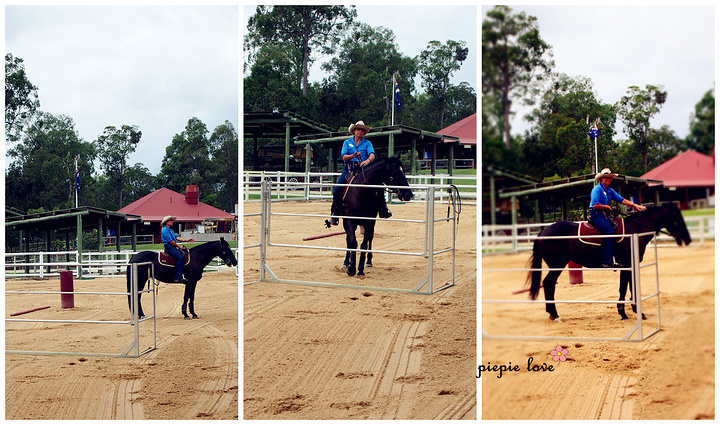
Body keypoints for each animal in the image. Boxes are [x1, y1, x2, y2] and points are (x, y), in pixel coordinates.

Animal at [528, 204, 692, 320]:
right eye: (677, 219)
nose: (688, 239)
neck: (635, 231)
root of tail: (543, 232)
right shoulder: (627, 265)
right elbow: (624, 288)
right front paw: (625, 313)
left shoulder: (630, 266)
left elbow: (630, 287)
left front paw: (634, 311)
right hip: (557, 265)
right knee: (548, 283)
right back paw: (555, 314)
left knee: (548, 284)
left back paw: (552, 313)